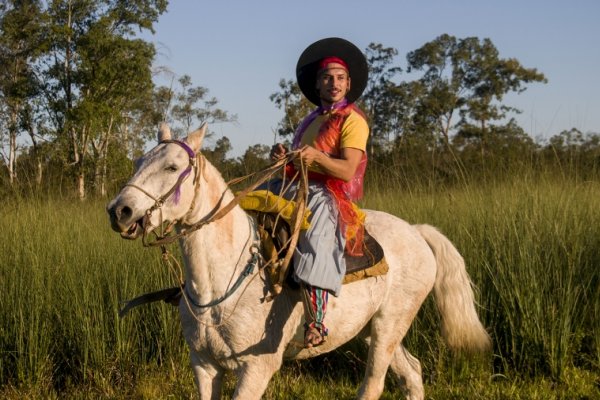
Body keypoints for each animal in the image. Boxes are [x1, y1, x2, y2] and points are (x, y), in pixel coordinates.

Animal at [109, 123, 492, 398]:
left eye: (172, 166)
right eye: (139, 163)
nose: (119, 211)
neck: (219, 287)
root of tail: (416, 231)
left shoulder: (255, 369)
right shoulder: (203, 365)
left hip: (390, 324)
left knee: (374, 384)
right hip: (371, 329)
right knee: (412, 373)